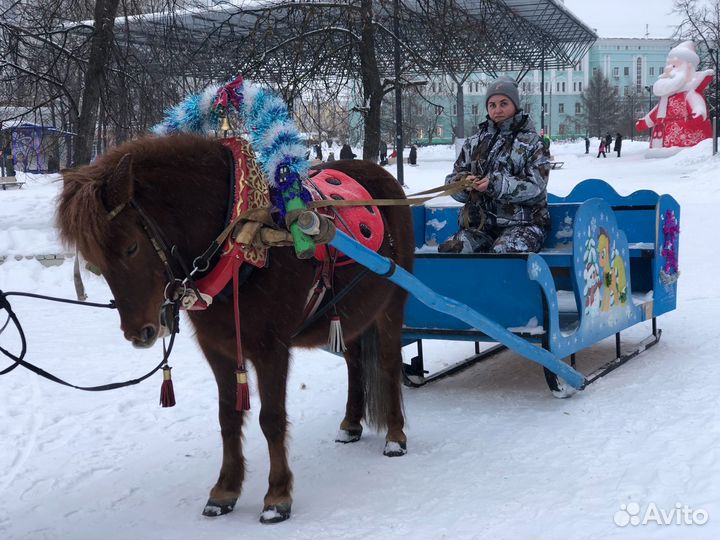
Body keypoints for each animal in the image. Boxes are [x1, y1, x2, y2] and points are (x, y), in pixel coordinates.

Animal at [57, 133, 414, 522]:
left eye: (131, 248)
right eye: (94, 262)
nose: (141, 333)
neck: (243, 241)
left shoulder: (271, 350)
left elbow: (271, 419)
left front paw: (277, 496)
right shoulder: (218, 349)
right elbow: (227, 417)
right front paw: (225, 489)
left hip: (392, 304)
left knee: (389, 364)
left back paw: (395, 435)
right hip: (349, 314)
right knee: (355, 362)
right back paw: (350, 423)